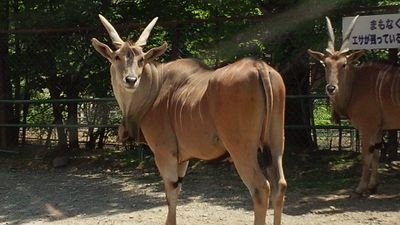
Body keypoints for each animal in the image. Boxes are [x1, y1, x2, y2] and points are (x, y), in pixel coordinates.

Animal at [92, 14, 288, 225]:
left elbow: (170, 193)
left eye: (141, 59)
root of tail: (259, 66)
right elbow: (177, 189)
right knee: (280, 185)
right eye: (117, 57)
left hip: (241, 149)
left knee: (261, 188)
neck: (155, 87)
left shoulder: (165, 154)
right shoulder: (182, 158)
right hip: (275, 143)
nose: (130, 80)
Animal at [308, 15, 400, 196]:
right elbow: (376, 154)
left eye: (343, 64)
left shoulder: (367, 126)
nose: (331, 88)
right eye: (325, 64)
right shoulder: (379, 128)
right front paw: (373, 187)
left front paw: (361, 188)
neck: (356, 83)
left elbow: (365, 156)